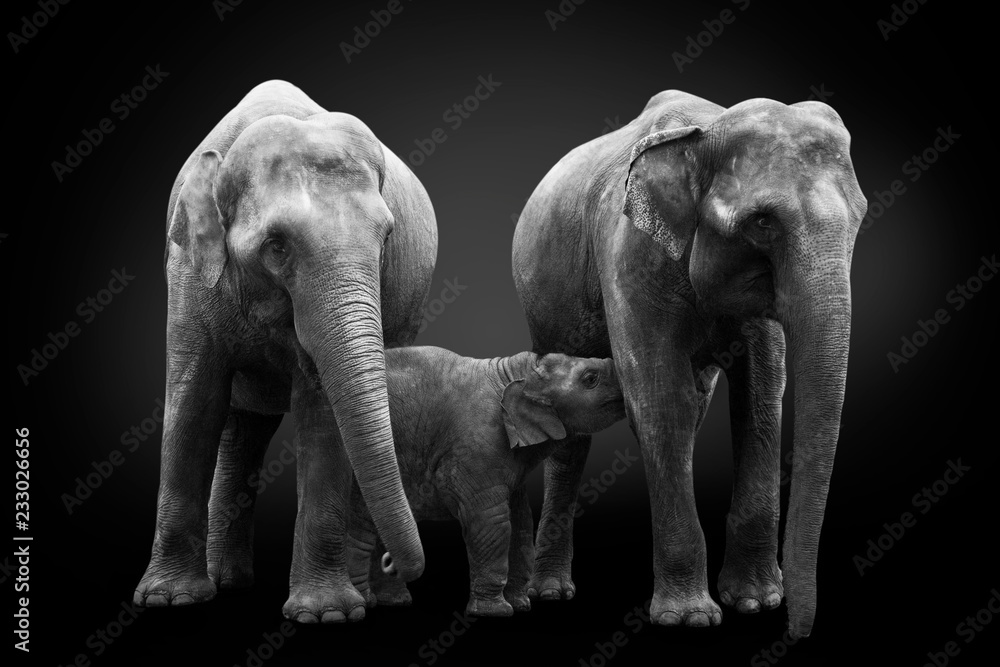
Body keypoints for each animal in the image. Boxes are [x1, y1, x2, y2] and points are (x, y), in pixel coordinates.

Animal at [133, 80, 438, 623]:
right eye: (277, 246)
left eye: (387, 238)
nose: (392, 561)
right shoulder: (188, 272)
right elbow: (194, 403)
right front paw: (170, 599)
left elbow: (322, 411)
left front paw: (327, 614)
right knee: (240, 426)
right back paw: (226, 583)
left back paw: (380, 600)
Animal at [339, 346, 625, 617]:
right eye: (591, 378)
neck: (517, 371)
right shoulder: (478, 447)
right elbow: (490, 519)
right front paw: (495, 612)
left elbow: (521, 520)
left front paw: (520, 605)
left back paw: (393, 601)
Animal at [511, 90, 866, 638]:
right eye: (763, 222)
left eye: (860, 217)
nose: (796, 632)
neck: (702, 135)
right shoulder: (628, 254)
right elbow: (659, 401)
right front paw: (690, 618)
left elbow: (759, 399)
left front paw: (755, 603)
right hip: (545, 298)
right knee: (572, 431)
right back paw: (550, 592)